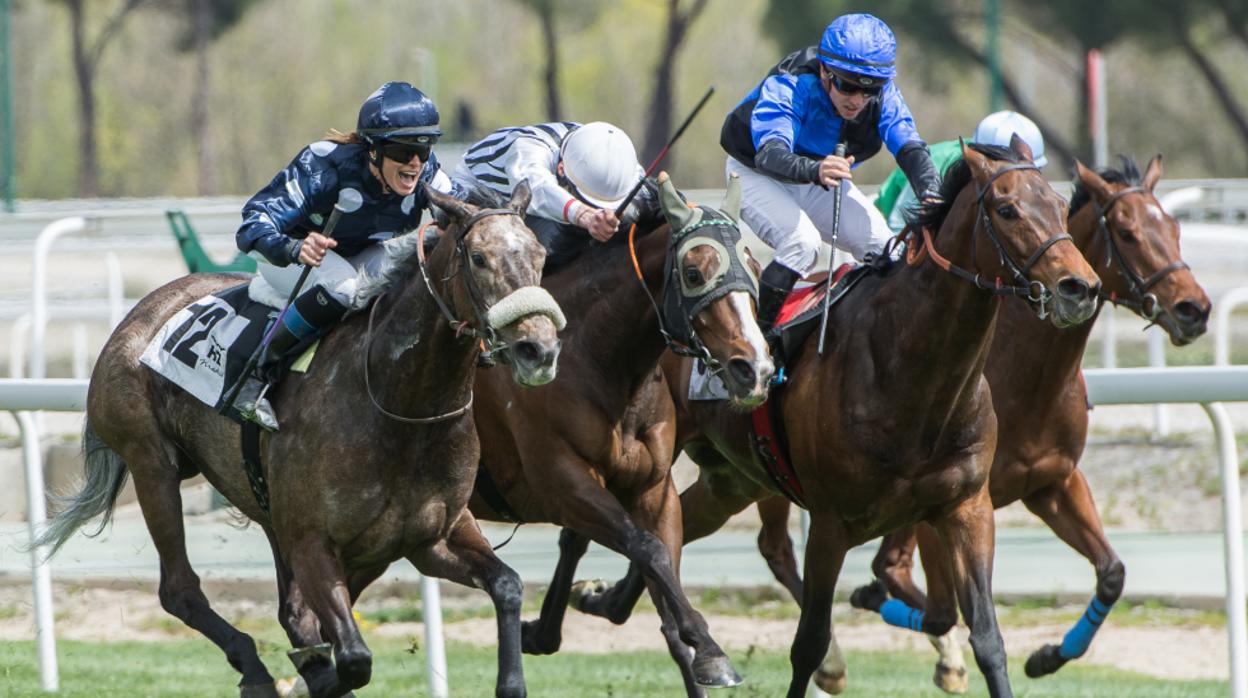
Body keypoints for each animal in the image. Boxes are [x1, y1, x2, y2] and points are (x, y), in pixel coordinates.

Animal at [35, 184, 561, 698]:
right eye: (479, 257)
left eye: (540, 253)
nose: (539, 349)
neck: (401, 407)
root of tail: (143, 309)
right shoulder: (313, 541)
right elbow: (353, 660)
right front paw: (311, 676)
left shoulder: (431, 538)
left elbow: (508, 585)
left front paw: (512, 678)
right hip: (151, 462)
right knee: (180, 589)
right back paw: (255, 669)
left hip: (272, 505)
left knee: (290, 612)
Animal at [464, 172, 768, 694]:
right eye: (694, 272)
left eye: (753, 266)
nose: (756, 368)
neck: (594, 357)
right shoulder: (562, 486)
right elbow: (646, 549)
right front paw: (711, 649)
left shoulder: (654, 489)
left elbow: (662, 574)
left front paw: (704, 655)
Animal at [566, 139, 1103, 694]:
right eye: (1007, 209)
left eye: (1061, 206)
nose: (1080, 287)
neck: (911, 371)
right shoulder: (829, 525)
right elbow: (808, 644)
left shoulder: (967, 508)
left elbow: (989, 639)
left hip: (732, 478)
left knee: (678, 526)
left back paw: (605, 599)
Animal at [743, 152, 1213, 694]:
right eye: (1128, 232)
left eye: (1175, 227)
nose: (1195, 309)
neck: (1027, 375)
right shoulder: (936, 510)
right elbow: (933, 602)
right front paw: (882, 605)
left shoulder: (1051, 482)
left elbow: (1111, 573)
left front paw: (1046, 657)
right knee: (783, 549)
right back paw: (837, 659)